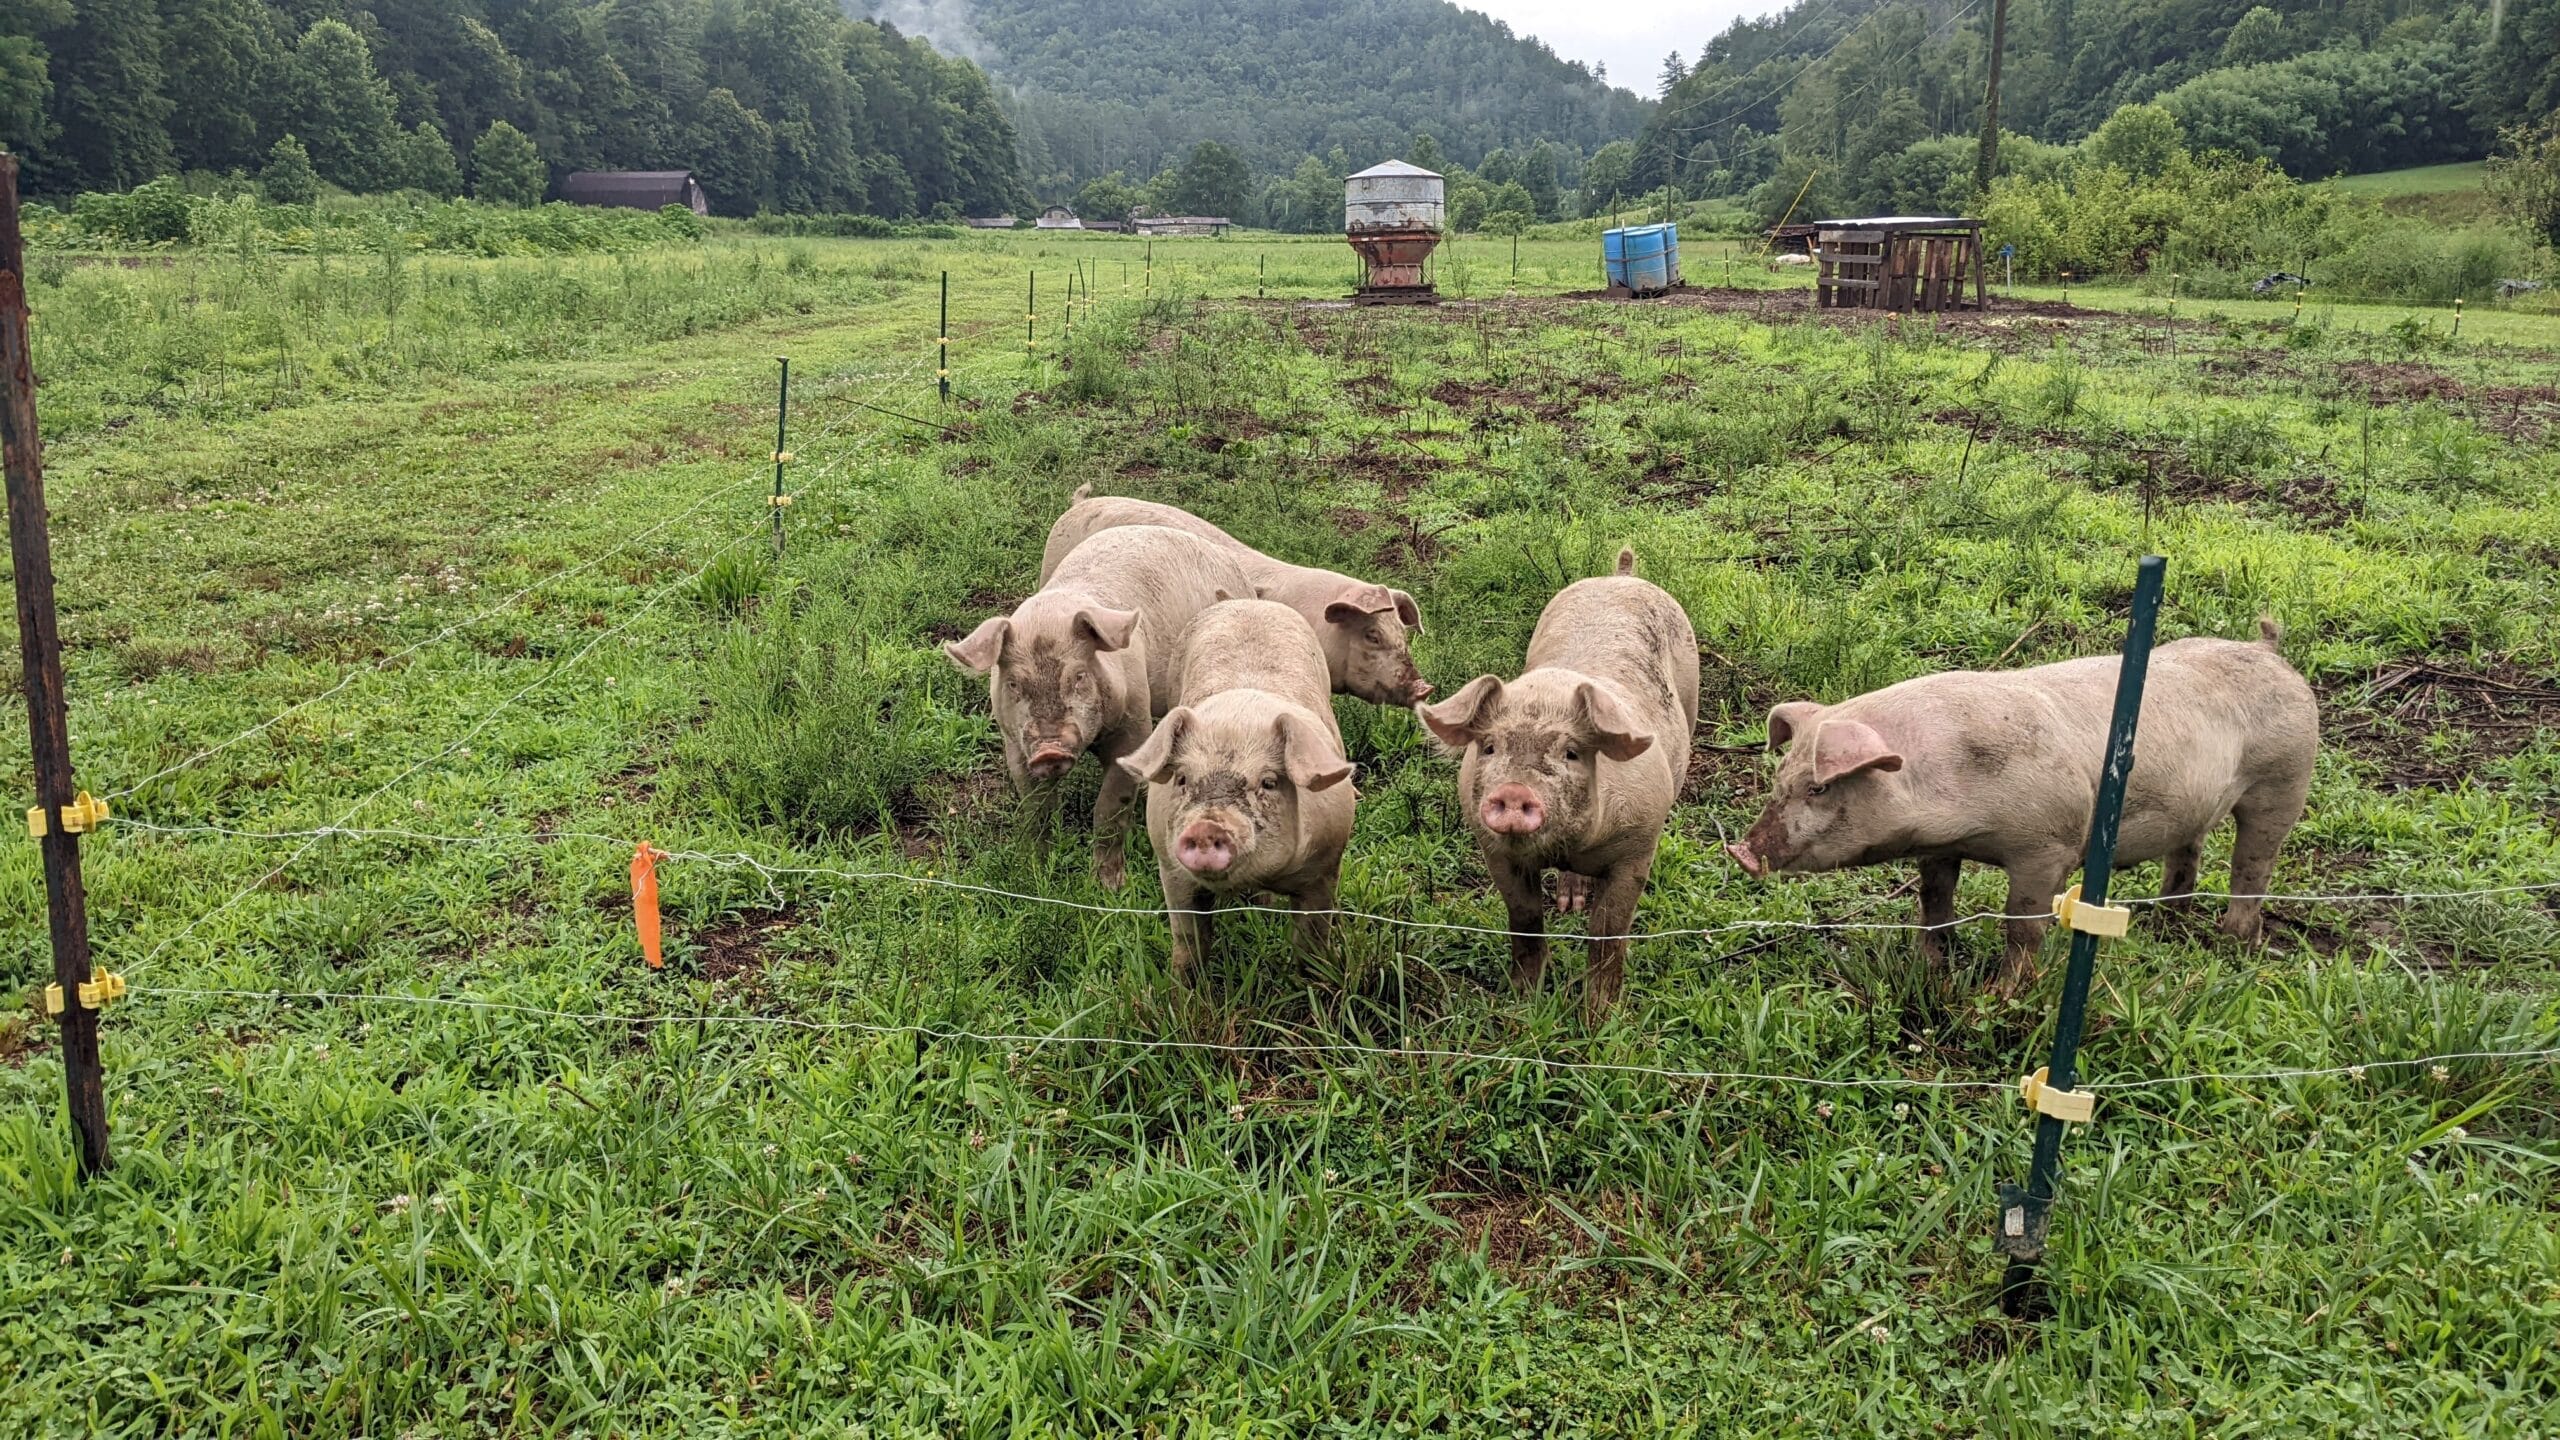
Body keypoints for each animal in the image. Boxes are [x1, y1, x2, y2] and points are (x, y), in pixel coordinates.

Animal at [944, 525, 1253, 888]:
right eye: (1014, 684)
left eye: (1079, 676)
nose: (1049, 749)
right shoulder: (1016, 745)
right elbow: (1036, 810)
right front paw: (1036, 873)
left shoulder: (1133, 727)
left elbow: (1109, 808)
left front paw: (1109, 887)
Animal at [1117, 599, 1358, 978]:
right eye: (1182, 779)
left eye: (1269, 782)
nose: (1206, 826)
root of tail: (1250, 601)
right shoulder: (1170, 870)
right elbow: (1188, 947)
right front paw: (1184, 990)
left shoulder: (1325, 866)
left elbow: (1312, 944)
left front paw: (1311, 982)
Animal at [1416, 548, 1699, 1023]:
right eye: (1490, 747)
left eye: (1571, 753)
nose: (1514, 791)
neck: (1569, 846)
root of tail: (1621, 575)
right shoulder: (1495, 852)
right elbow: (1525, 922)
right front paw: (1522, 1006)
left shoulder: (1638, 845)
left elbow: (1607, 935)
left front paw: (1599, 1021)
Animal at [1726, 620, 2318, 996]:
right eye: (1780, 780)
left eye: (1819, 789)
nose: (1741, 851)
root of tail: (2269, 651)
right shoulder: (1939, 847)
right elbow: (1934, 902)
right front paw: (1931, 968)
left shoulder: (2048, 845)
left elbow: (2022, 925)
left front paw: (2003, 993)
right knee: (2188, 851)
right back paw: (2162, 922)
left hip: (2285, 778)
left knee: (2253, 863)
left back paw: (2234, 941)